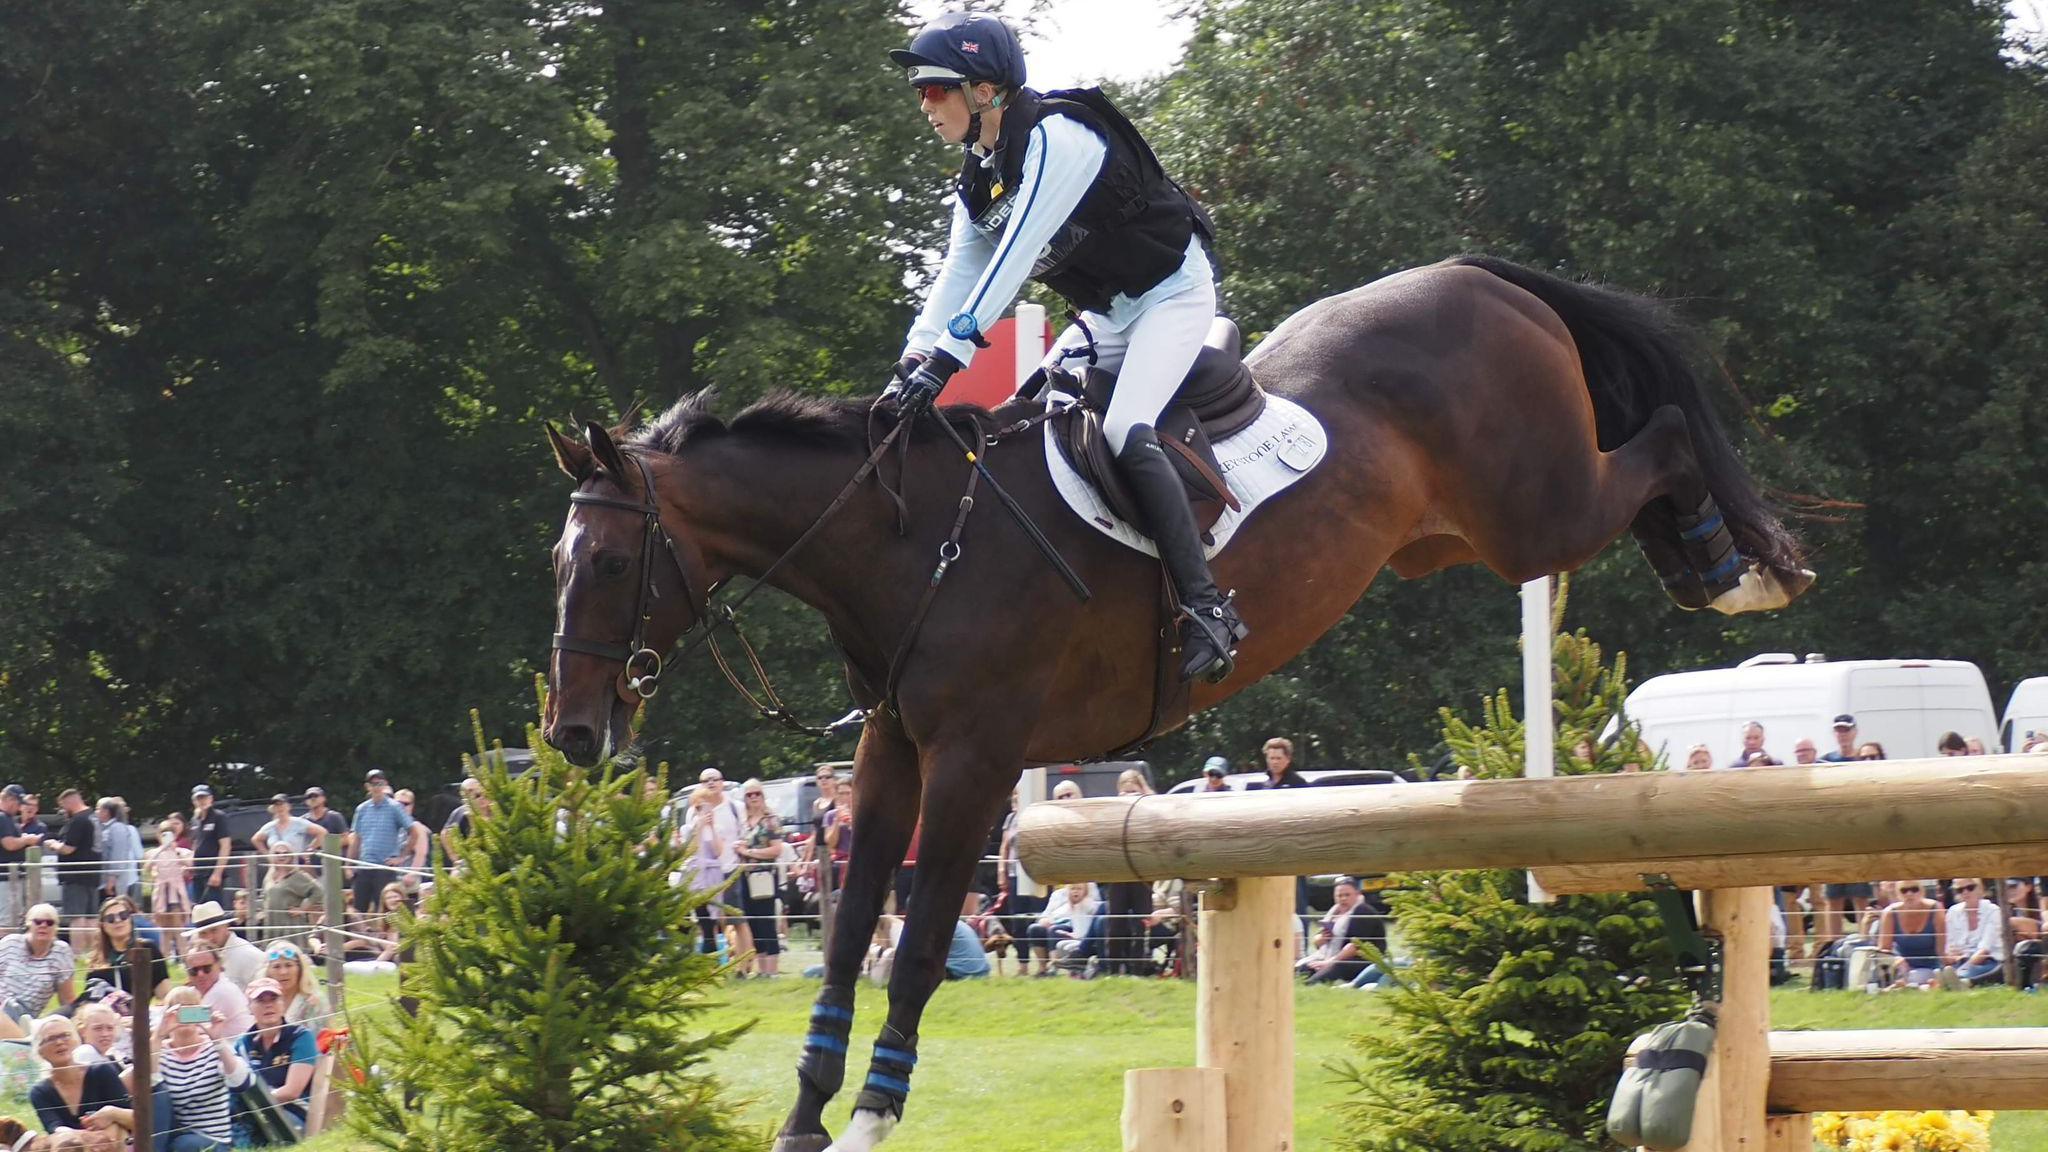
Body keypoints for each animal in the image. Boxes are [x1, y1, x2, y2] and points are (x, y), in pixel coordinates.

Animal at [540, 255, 1810, 1139]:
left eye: (604, 561)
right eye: (558, 562)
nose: (572, 734)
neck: (911, 545)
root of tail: (1481, 277)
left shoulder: (977, 760)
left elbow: (917, 944)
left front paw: (870, 1119)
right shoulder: (890, 752)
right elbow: (852, 932)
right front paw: (806, 1115)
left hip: (1530, 511)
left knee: (1657, 437)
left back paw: (1734, 563)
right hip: (1444, 536)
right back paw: (1709, 557)